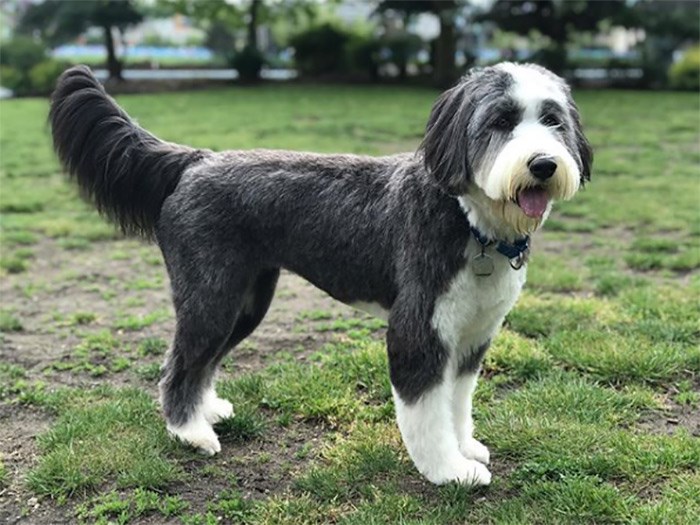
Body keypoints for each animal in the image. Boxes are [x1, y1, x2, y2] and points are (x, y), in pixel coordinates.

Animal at [47, 63, 592, 486]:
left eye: (552, 120)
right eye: (500, 121)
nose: (543, 164)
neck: (469, 218)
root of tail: (196, 161)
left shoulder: (474, 335)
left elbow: (456, 404)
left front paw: (466, 447)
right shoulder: (419, 332)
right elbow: (427, 414)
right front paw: (449, 470)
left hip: (246, 301)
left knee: (203, 359)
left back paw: (207, 410)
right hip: (211, 295)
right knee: (179, 363)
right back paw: (190, 432)